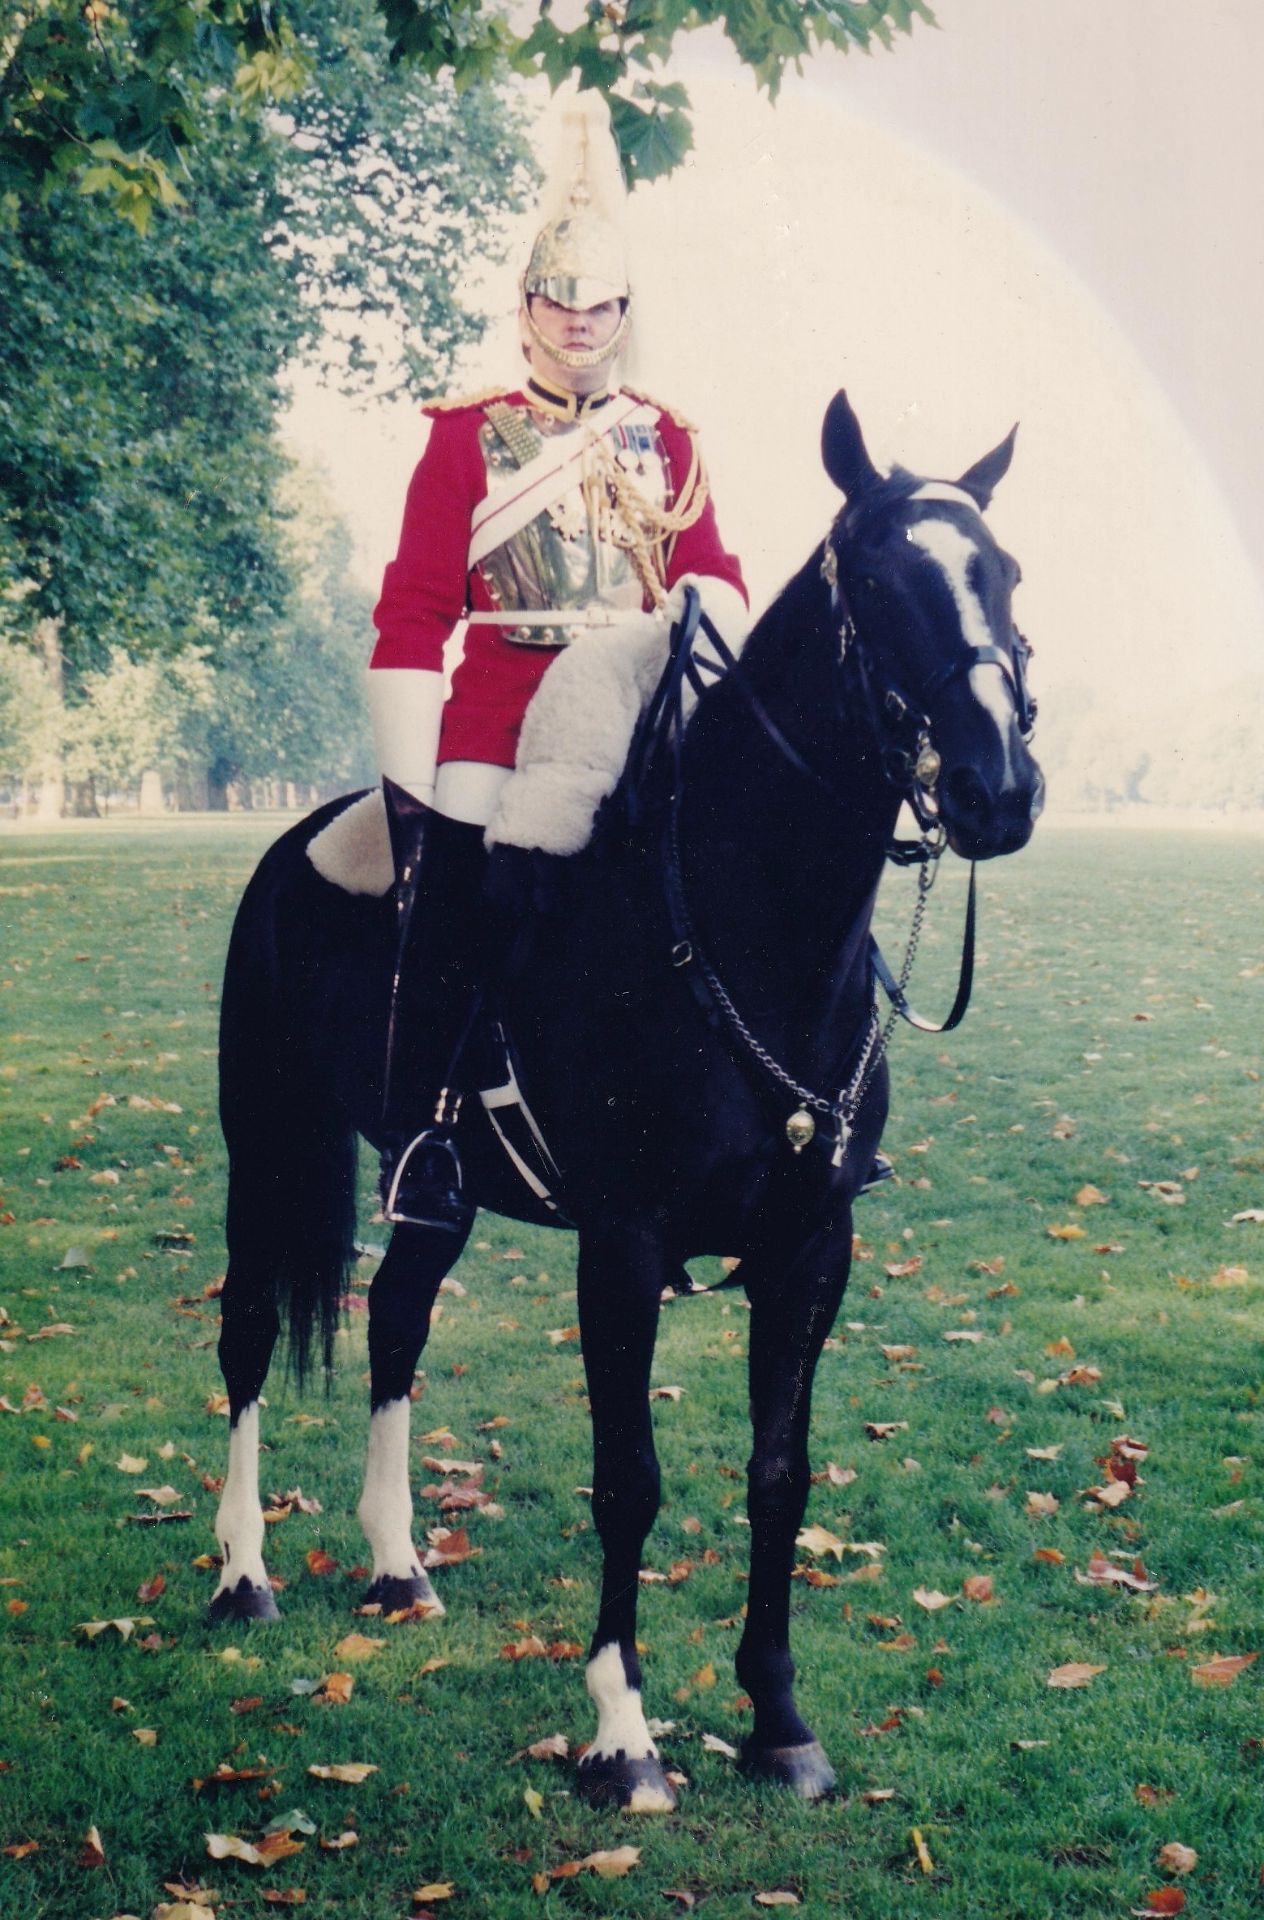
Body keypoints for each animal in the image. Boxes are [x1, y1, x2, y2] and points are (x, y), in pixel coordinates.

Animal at [211, 393, 1037, 1812]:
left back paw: (397, 1565)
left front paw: (777, 1720)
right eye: (879, 582)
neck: (742, 932)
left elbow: (778, 1474)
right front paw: (621, 1732)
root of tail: (298, 838)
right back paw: (243, 1573)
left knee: (394, 1325)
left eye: (1006, 576)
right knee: (251, 1332)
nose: (1002, 788)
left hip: (435, 1184)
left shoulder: (812, 1246)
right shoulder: (624, 1244)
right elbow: (629, 1481)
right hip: (258, 1141)